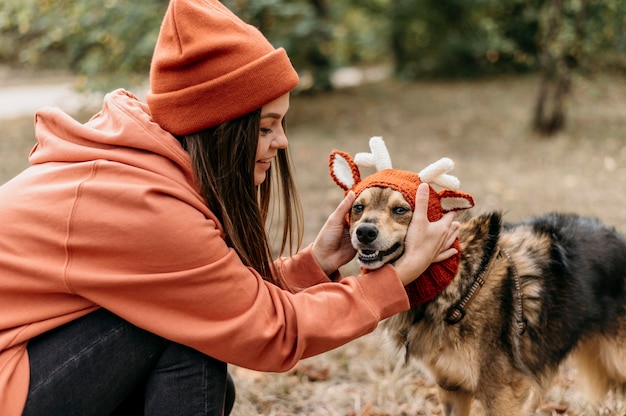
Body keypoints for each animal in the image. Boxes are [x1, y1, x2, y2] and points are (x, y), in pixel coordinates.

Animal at [348, 186, 624, 416]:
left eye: (400, 210)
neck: (461, 283)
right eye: (358, 208)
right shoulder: (452, 387)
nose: (364, 232)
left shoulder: (501, 392)